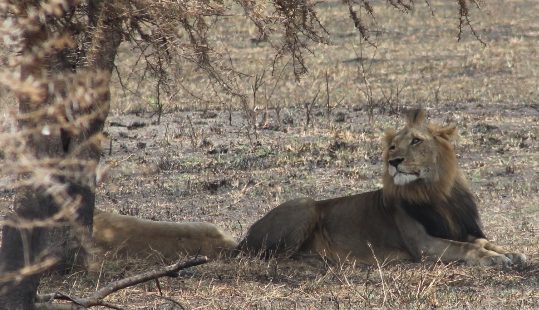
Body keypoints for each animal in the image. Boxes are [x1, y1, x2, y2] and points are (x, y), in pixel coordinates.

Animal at [240, 108, 528, 266]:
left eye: (416, 141)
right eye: (392, 146)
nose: (394, 161)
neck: (434, 191)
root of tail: (245, 235)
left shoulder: (460, 229)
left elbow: (484, 241)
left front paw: (511, 253)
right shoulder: (422, 245)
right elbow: (469, 248)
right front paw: (493, 259)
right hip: (306, 205)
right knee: (275, 256)